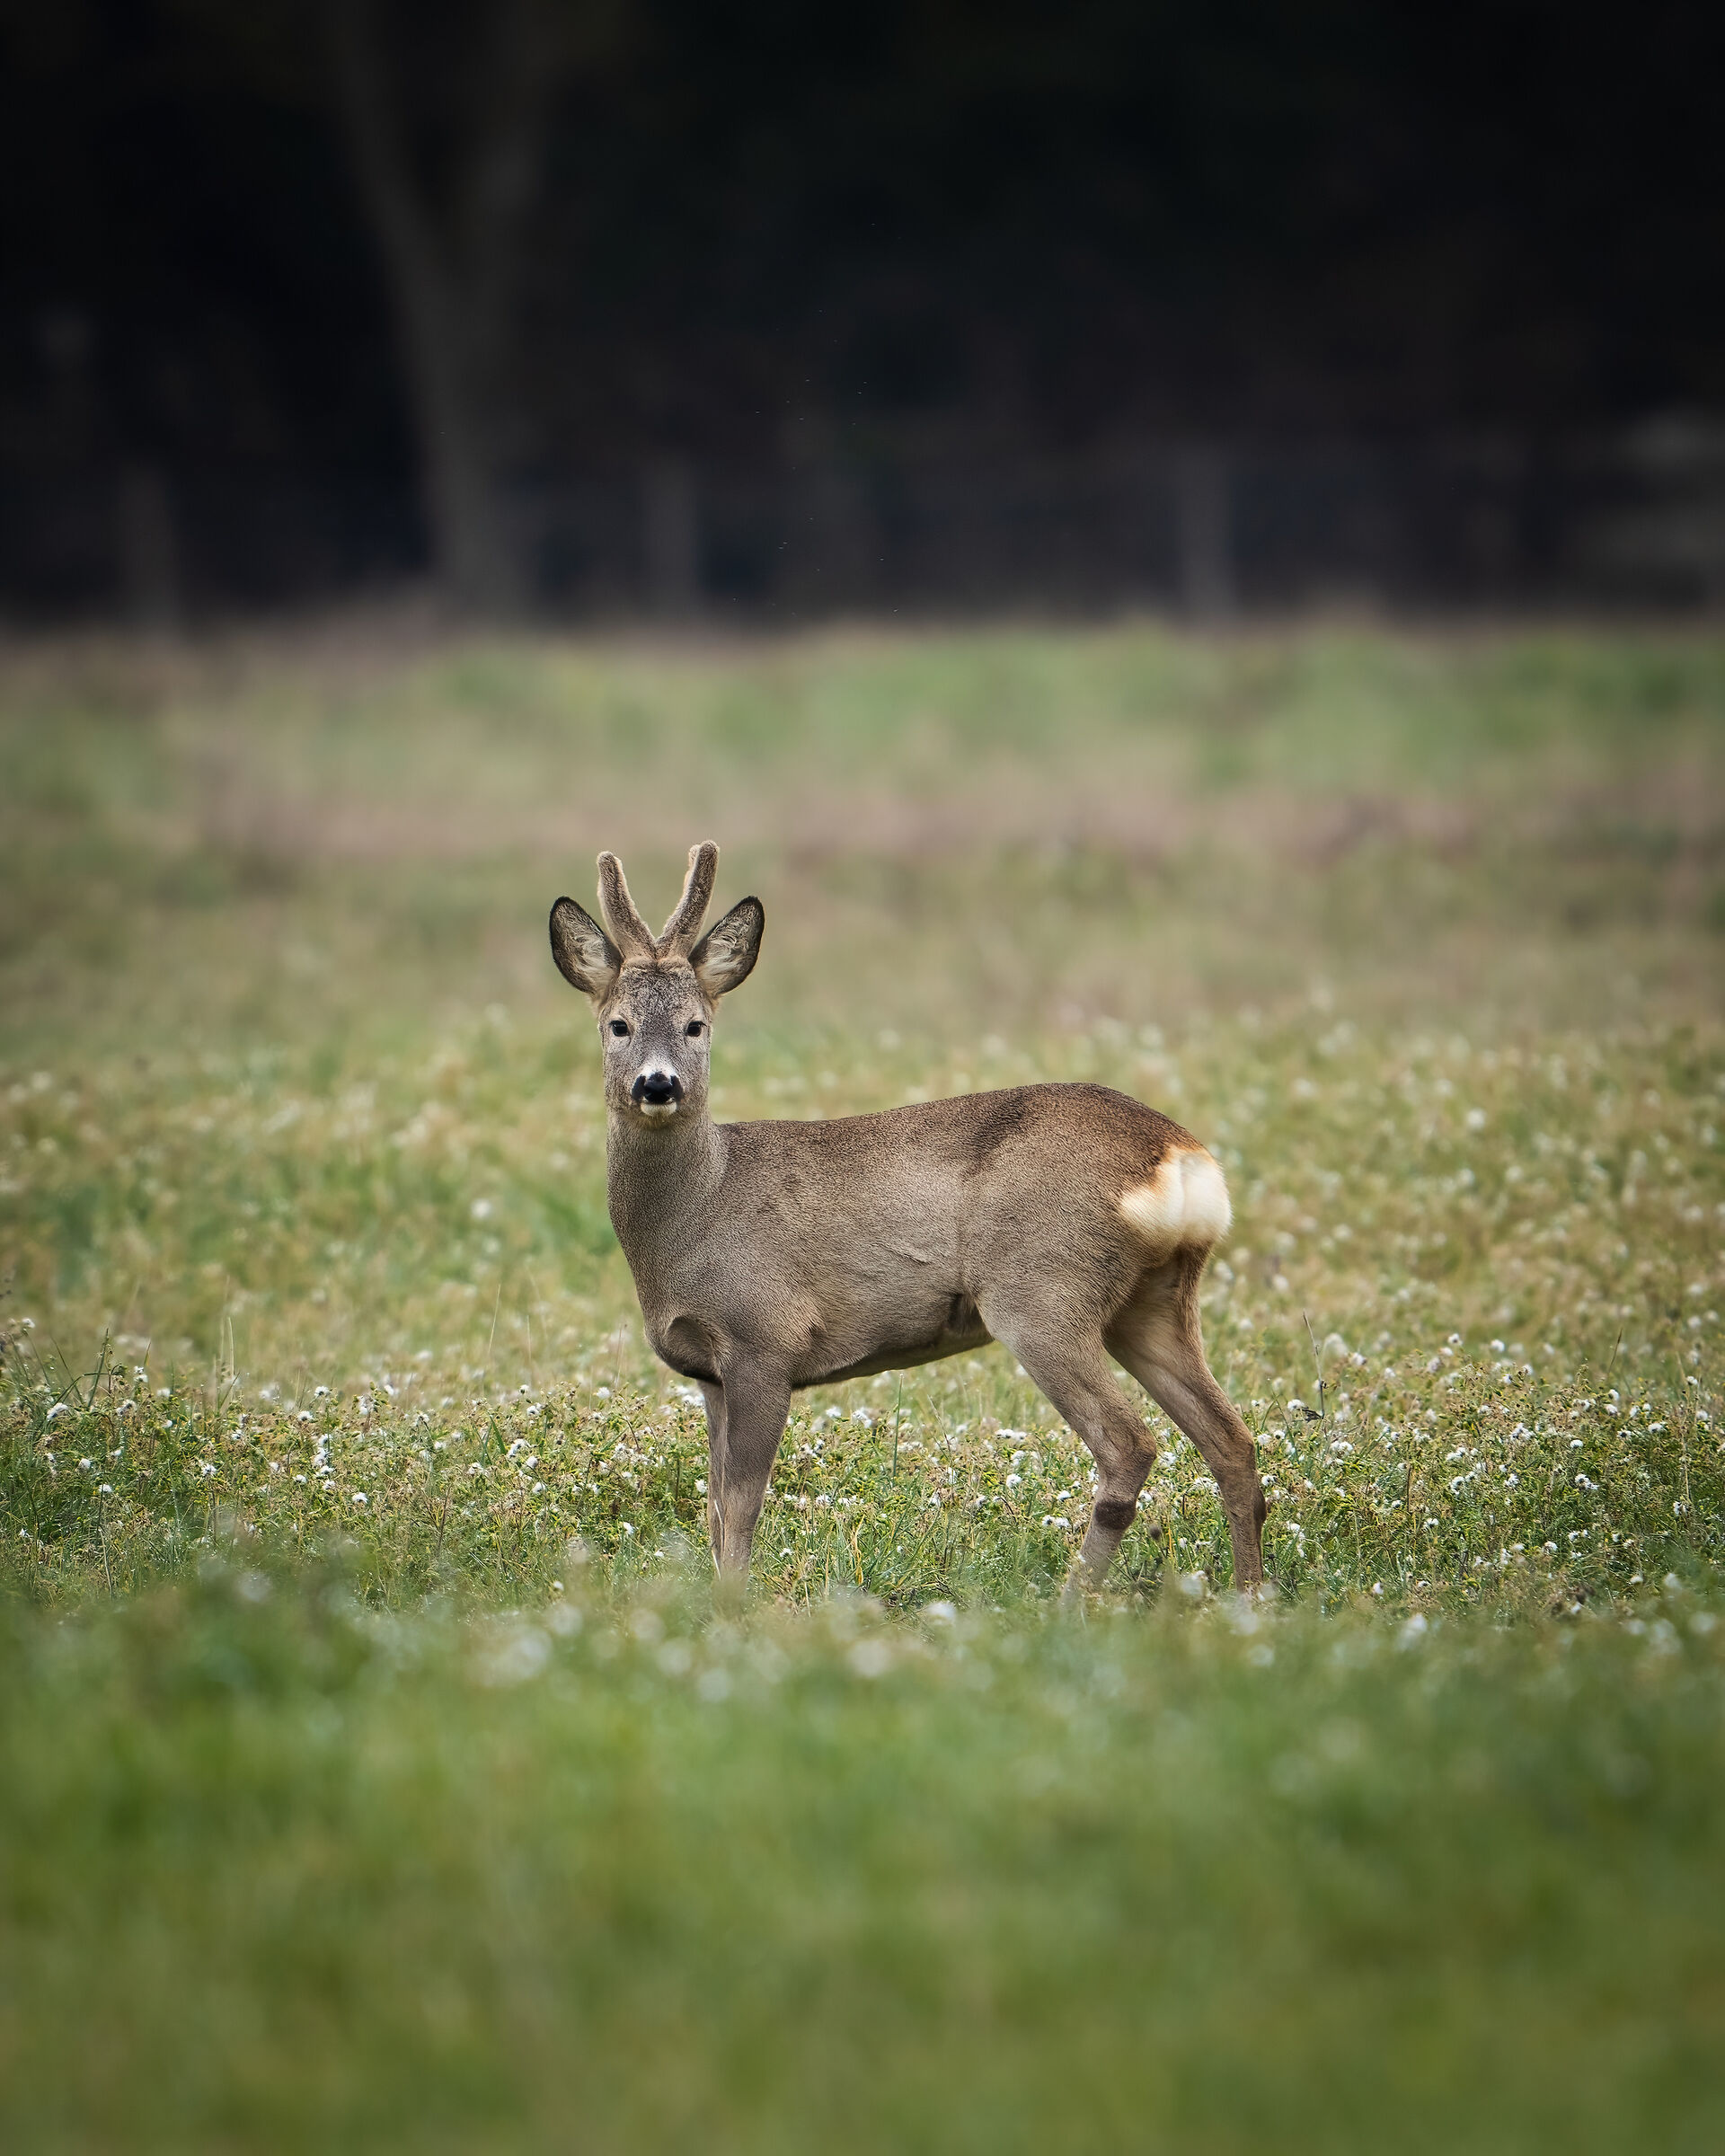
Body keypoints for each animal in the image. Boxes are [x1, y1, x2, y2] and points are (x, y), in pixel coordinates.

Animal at [549, 842, 1266, 1601]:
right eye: (618, 1024)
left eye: (695, 1025)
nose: (658, 1084)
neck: (697, 1213)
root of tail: (1177, 1157)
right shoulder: (711, 1372)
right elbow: (715, 1511)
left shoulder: (765, 1338)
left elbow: (739, 1509)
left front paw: (732, 1609)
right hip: (1152, 1302)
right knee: (1232, 1441)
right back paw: (1250, 1597)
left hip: (1042, 1292)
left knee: (1131, 1444)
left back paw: (1073, 1602)